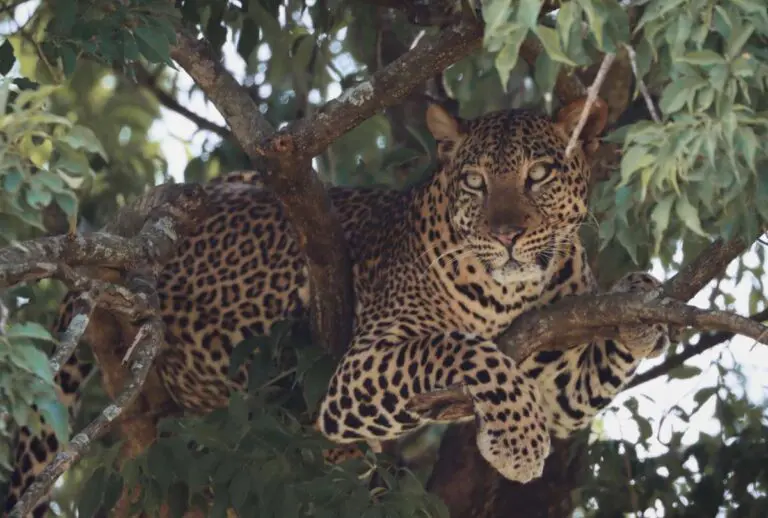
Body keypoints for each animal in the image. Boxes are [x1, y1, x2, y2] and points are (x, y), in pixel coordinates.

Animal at [4, 97, 673, 517]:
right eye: (476, 183)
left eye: (538, 176)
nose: (506, 235)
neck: (514, 295)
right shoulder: (360, 370)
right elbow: (463, 348)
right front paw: (517, 442)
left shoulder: (557, 377)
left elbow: (584, 376)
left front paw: (642, 303)